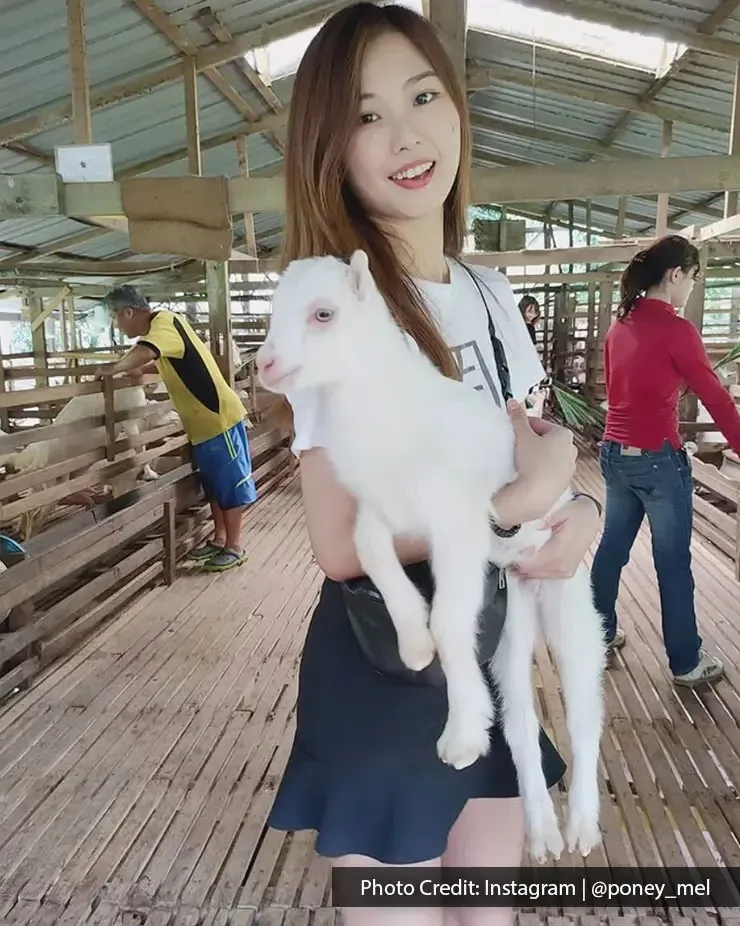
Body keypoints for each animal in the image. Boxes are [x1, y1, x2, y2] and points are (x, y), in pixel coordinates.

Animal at [256, 251, 606, 862]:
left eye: (324, 314)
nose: (264, 364)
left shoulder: (458, 521)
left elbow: (450, 621)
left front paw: (461, 736)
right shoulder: (381, 513)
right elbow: (373, 554)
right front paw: (414, 643)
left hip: (567, 594)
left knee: (585, 709)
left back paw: (581, 825)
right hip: (511, 621)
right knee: (520, 720)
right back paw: (541, 831)